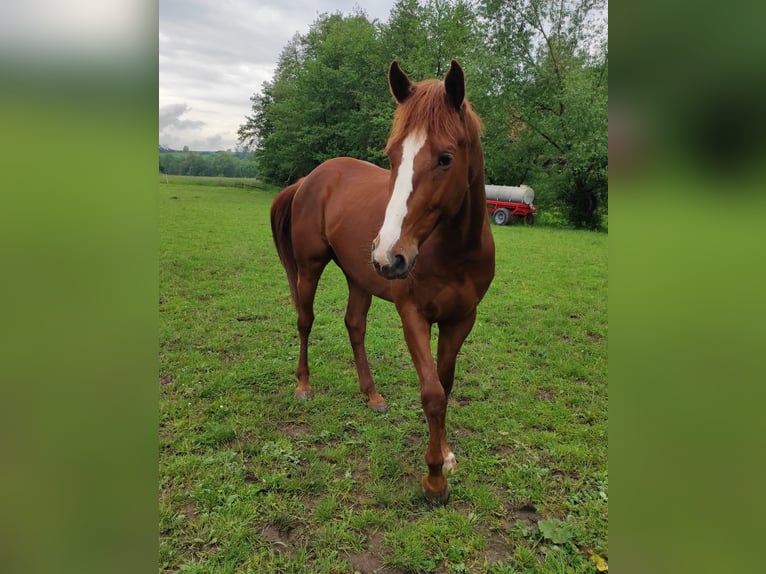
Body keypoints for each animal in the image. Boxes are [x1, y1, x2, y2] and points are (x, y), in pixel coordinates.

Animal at [272, 59, 496, 504]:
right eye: (392, 155)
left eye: (445, 158)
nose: (389, 254)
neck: (456, 250)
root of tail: (310, 178)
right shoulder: (413, 314)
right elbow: (432, 393)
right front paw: (433, 480)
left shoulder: (461, 320)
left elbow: (445, 384)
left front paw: (445, 455)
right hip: (310, 267)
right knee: (305, 321)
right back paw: (304, 386)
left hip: (360, 278)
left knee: (354, 326)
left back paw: (371, 395)